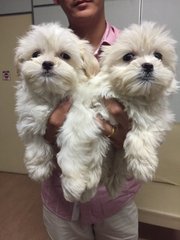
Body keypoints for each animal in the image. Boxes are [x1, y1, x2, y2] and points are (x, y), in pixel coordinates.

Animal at [15, 23, 100, 183]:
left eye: (65, 56)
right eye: (36, 54)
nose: (47, 64)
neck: (52, 94)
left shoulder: (78, 117)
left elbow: (73, 142)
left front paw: (74, 181)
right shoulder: (30, 115)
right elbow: (34, 139)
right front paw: (39, 169)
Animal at [59, 22, 178, 202]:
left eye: (158, 55)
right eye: (128, 57)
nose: (148, 65)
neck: (132, 97)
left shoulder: (157, 116)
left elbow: (142, 132)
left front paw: (143, 166)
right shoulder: (100, 117)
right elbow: (94, 149)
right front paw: (89, 181)